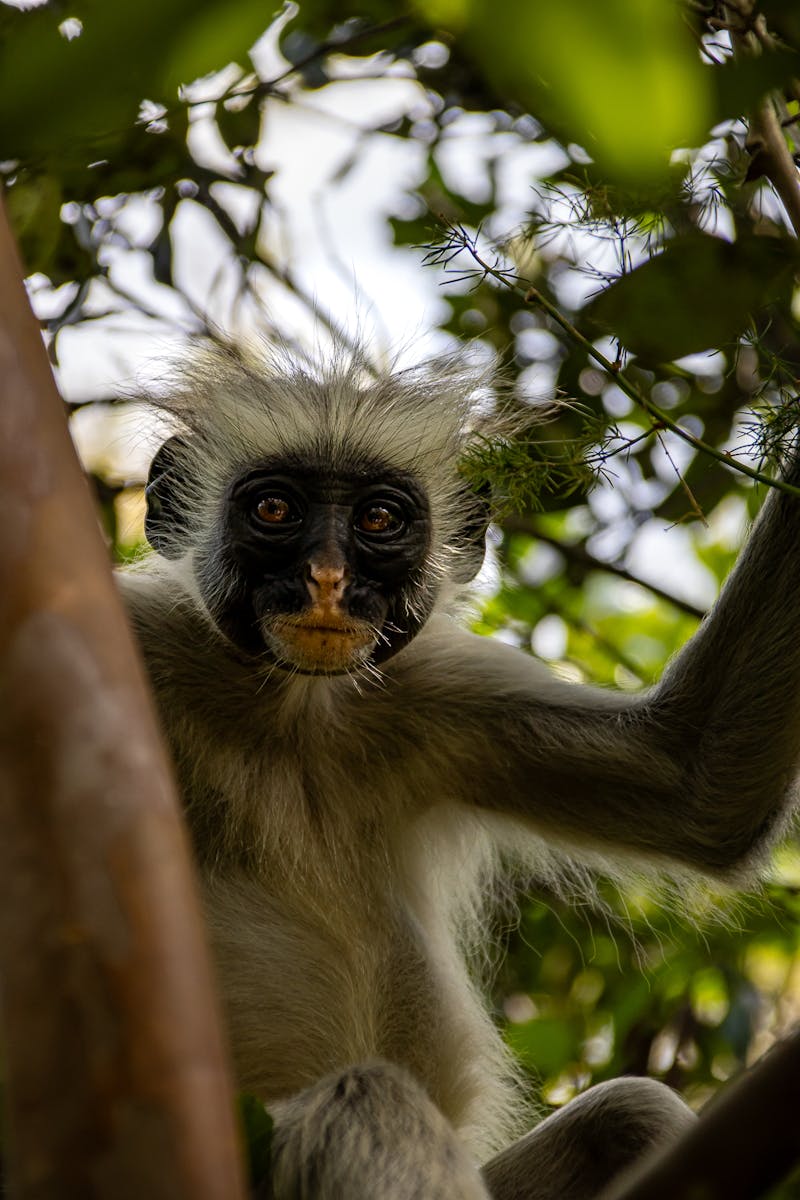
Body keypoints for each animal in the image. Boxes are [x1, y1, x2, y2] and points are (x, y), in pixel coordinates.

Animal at [118, 341, 800, 1199]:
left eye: (378, 520)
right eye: (274, 511)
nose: (327, 580)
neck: (292, 712)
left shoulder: (434, 695)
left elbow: (703, 787)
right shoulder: (141, 641)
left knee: (627, 1114)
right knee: (363, 1097)